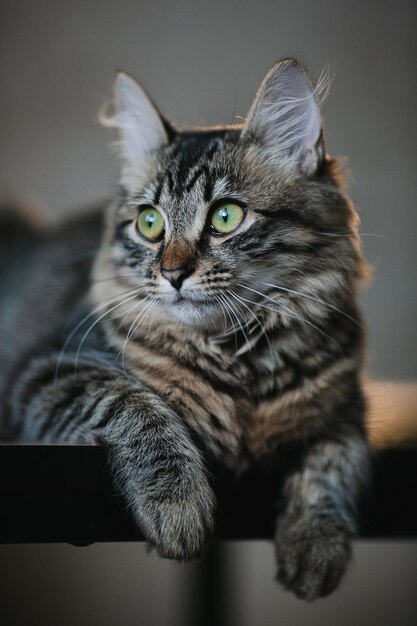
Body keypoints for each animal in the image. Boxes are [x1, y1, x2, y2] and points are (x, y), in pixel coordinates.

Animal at [0, 59, 370, 600]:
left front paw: (316, 546)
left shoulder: (349, 408)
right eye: (150, 224)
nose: (173, 274)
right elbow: (135, 407)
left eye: (226, 216)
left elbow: (334, 462)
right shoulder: (47, 370)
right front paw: (177, 508)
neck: (237, 356)